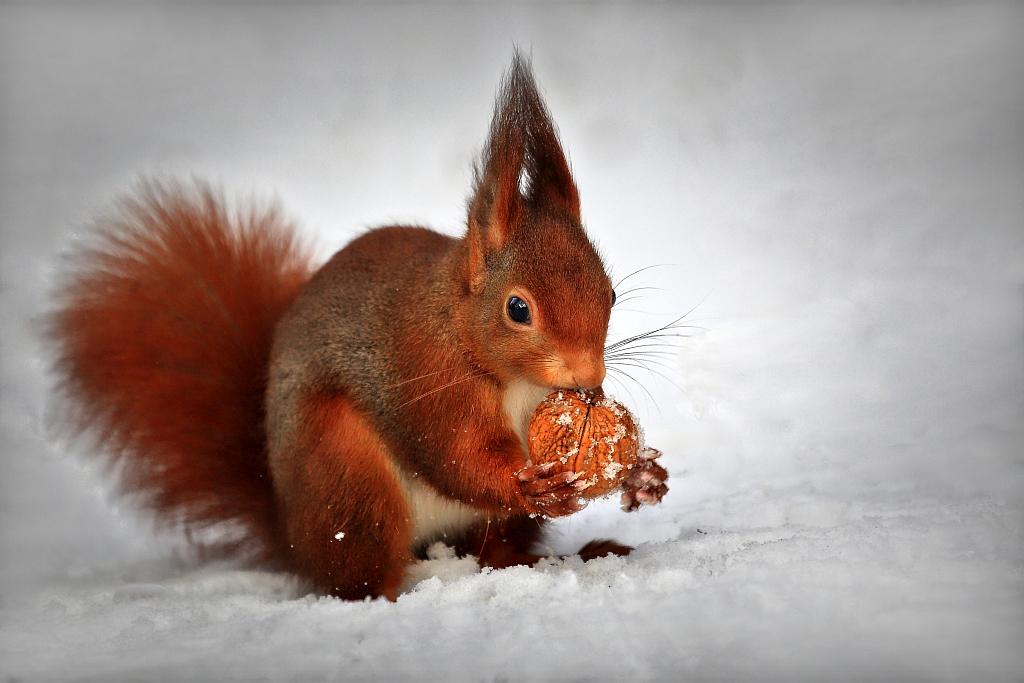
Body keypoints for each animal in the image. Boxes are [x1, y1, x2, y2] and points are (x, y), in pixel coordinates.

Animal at [51, 53, 667, 598]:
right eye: (518, 309)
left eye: (611, 293)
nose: (589, 380)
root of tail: (292, 538)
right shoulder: (428, 378)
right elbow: (457, 457)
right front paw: (532, 483)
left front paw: (641, 474)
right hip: (346, 475)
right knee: (360, 577)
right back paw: (392, 592)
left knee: (501, 551)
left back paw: (574, 555)